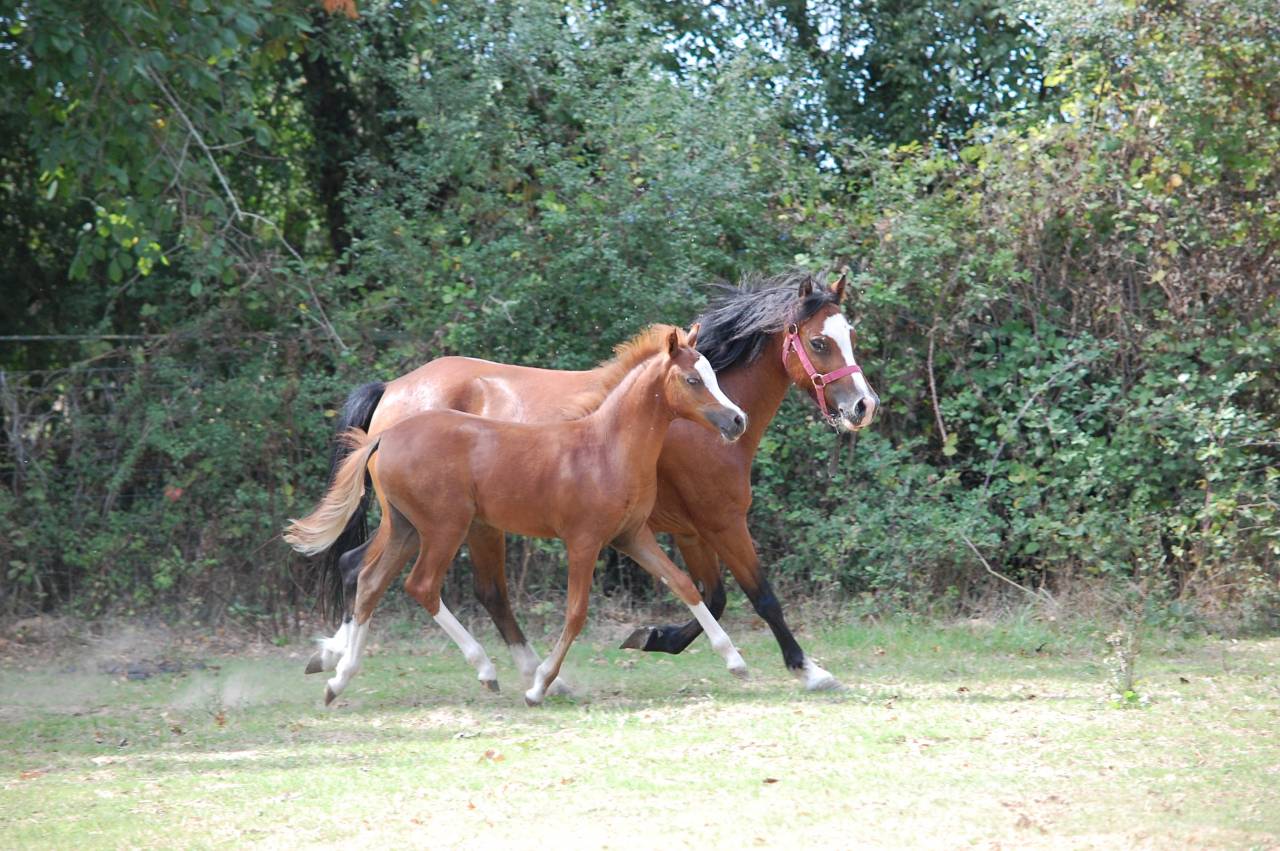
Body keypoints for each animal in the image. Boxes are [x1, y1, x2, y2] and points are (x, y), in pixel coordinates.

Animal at [285, 325, 751, 706]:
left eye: (713, 374)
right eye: (693, 379)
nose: (737, 419)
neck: (605, 446)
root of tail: (384, 436)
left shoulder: (632, 536)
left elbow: (684, 585)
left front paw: (736, 662)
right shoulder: (583, 542)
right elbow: (576, 613)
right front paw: (540, 685)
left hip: (405, 527)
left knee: (369, 580)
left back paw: (338, 678)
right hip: (445, 528)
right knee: (422, 586)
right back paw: (485, 670)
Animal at [316, 269, 879, 692]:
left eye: (852, 336)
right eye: (820, 342)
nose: (863, 406)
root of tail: (394, 391)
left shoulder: (686, 531)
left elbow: (708, 595)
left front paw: (653, 637)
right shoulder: (720, 523)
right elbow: (760, 595)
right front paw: (809, 669)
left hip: (446, 524)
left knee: (373, 569)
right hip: (451, 524)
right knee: (420, 580)